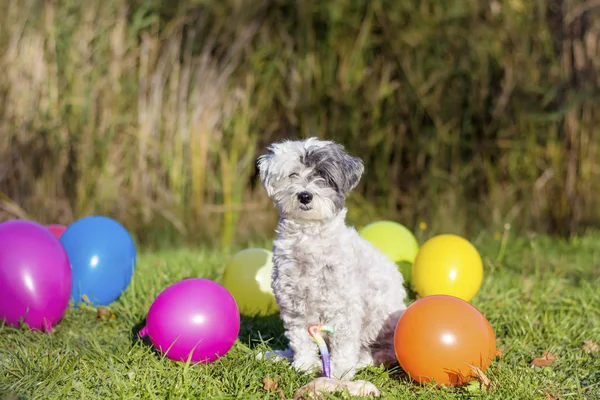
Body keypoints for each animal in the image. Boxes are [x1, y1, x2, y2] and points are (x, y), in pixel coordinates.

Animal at [256, 138, 408, 384]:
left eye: (324, 177)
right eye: (293, 174)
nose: (305, 196)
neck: (309, 237)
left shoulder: (344, 309)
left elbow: (344, 346)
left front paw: (338, 374)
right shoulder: (294, 306)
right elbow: (301, 340)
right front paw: (305, 367)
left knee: (383, 352)